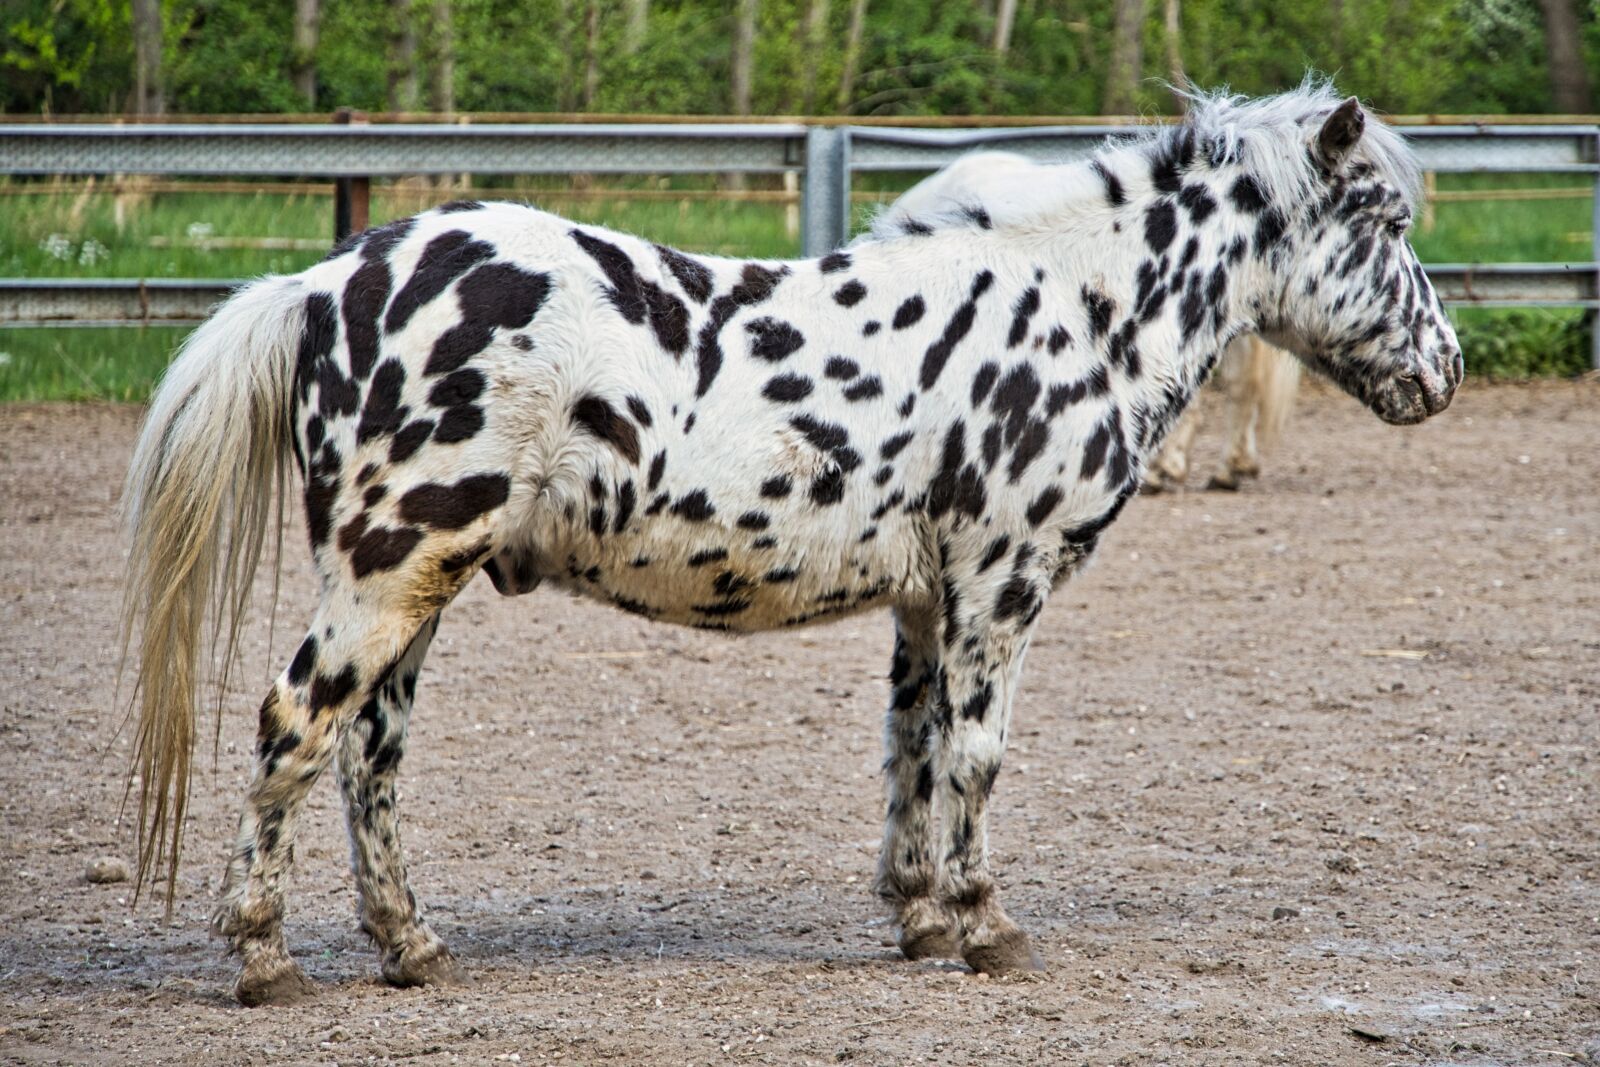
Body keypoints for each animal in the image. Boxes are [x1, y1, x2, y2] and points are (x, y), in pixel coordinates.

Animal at [120, 80, 1461, 1004]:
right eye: (1384, 218)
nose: (1443, 370)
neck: (1077, 312)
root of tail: (327, 279)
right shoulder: (1002, 586)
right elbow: (978, 757)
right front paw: (986, 926)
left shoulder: (928, 602)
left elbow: (913, 751)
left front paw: (919, 916)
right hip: (384, 573)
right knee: (295, 728)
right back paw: (263, 957)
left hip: (415, 590)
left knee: (370, 758)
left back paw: (413, 946)